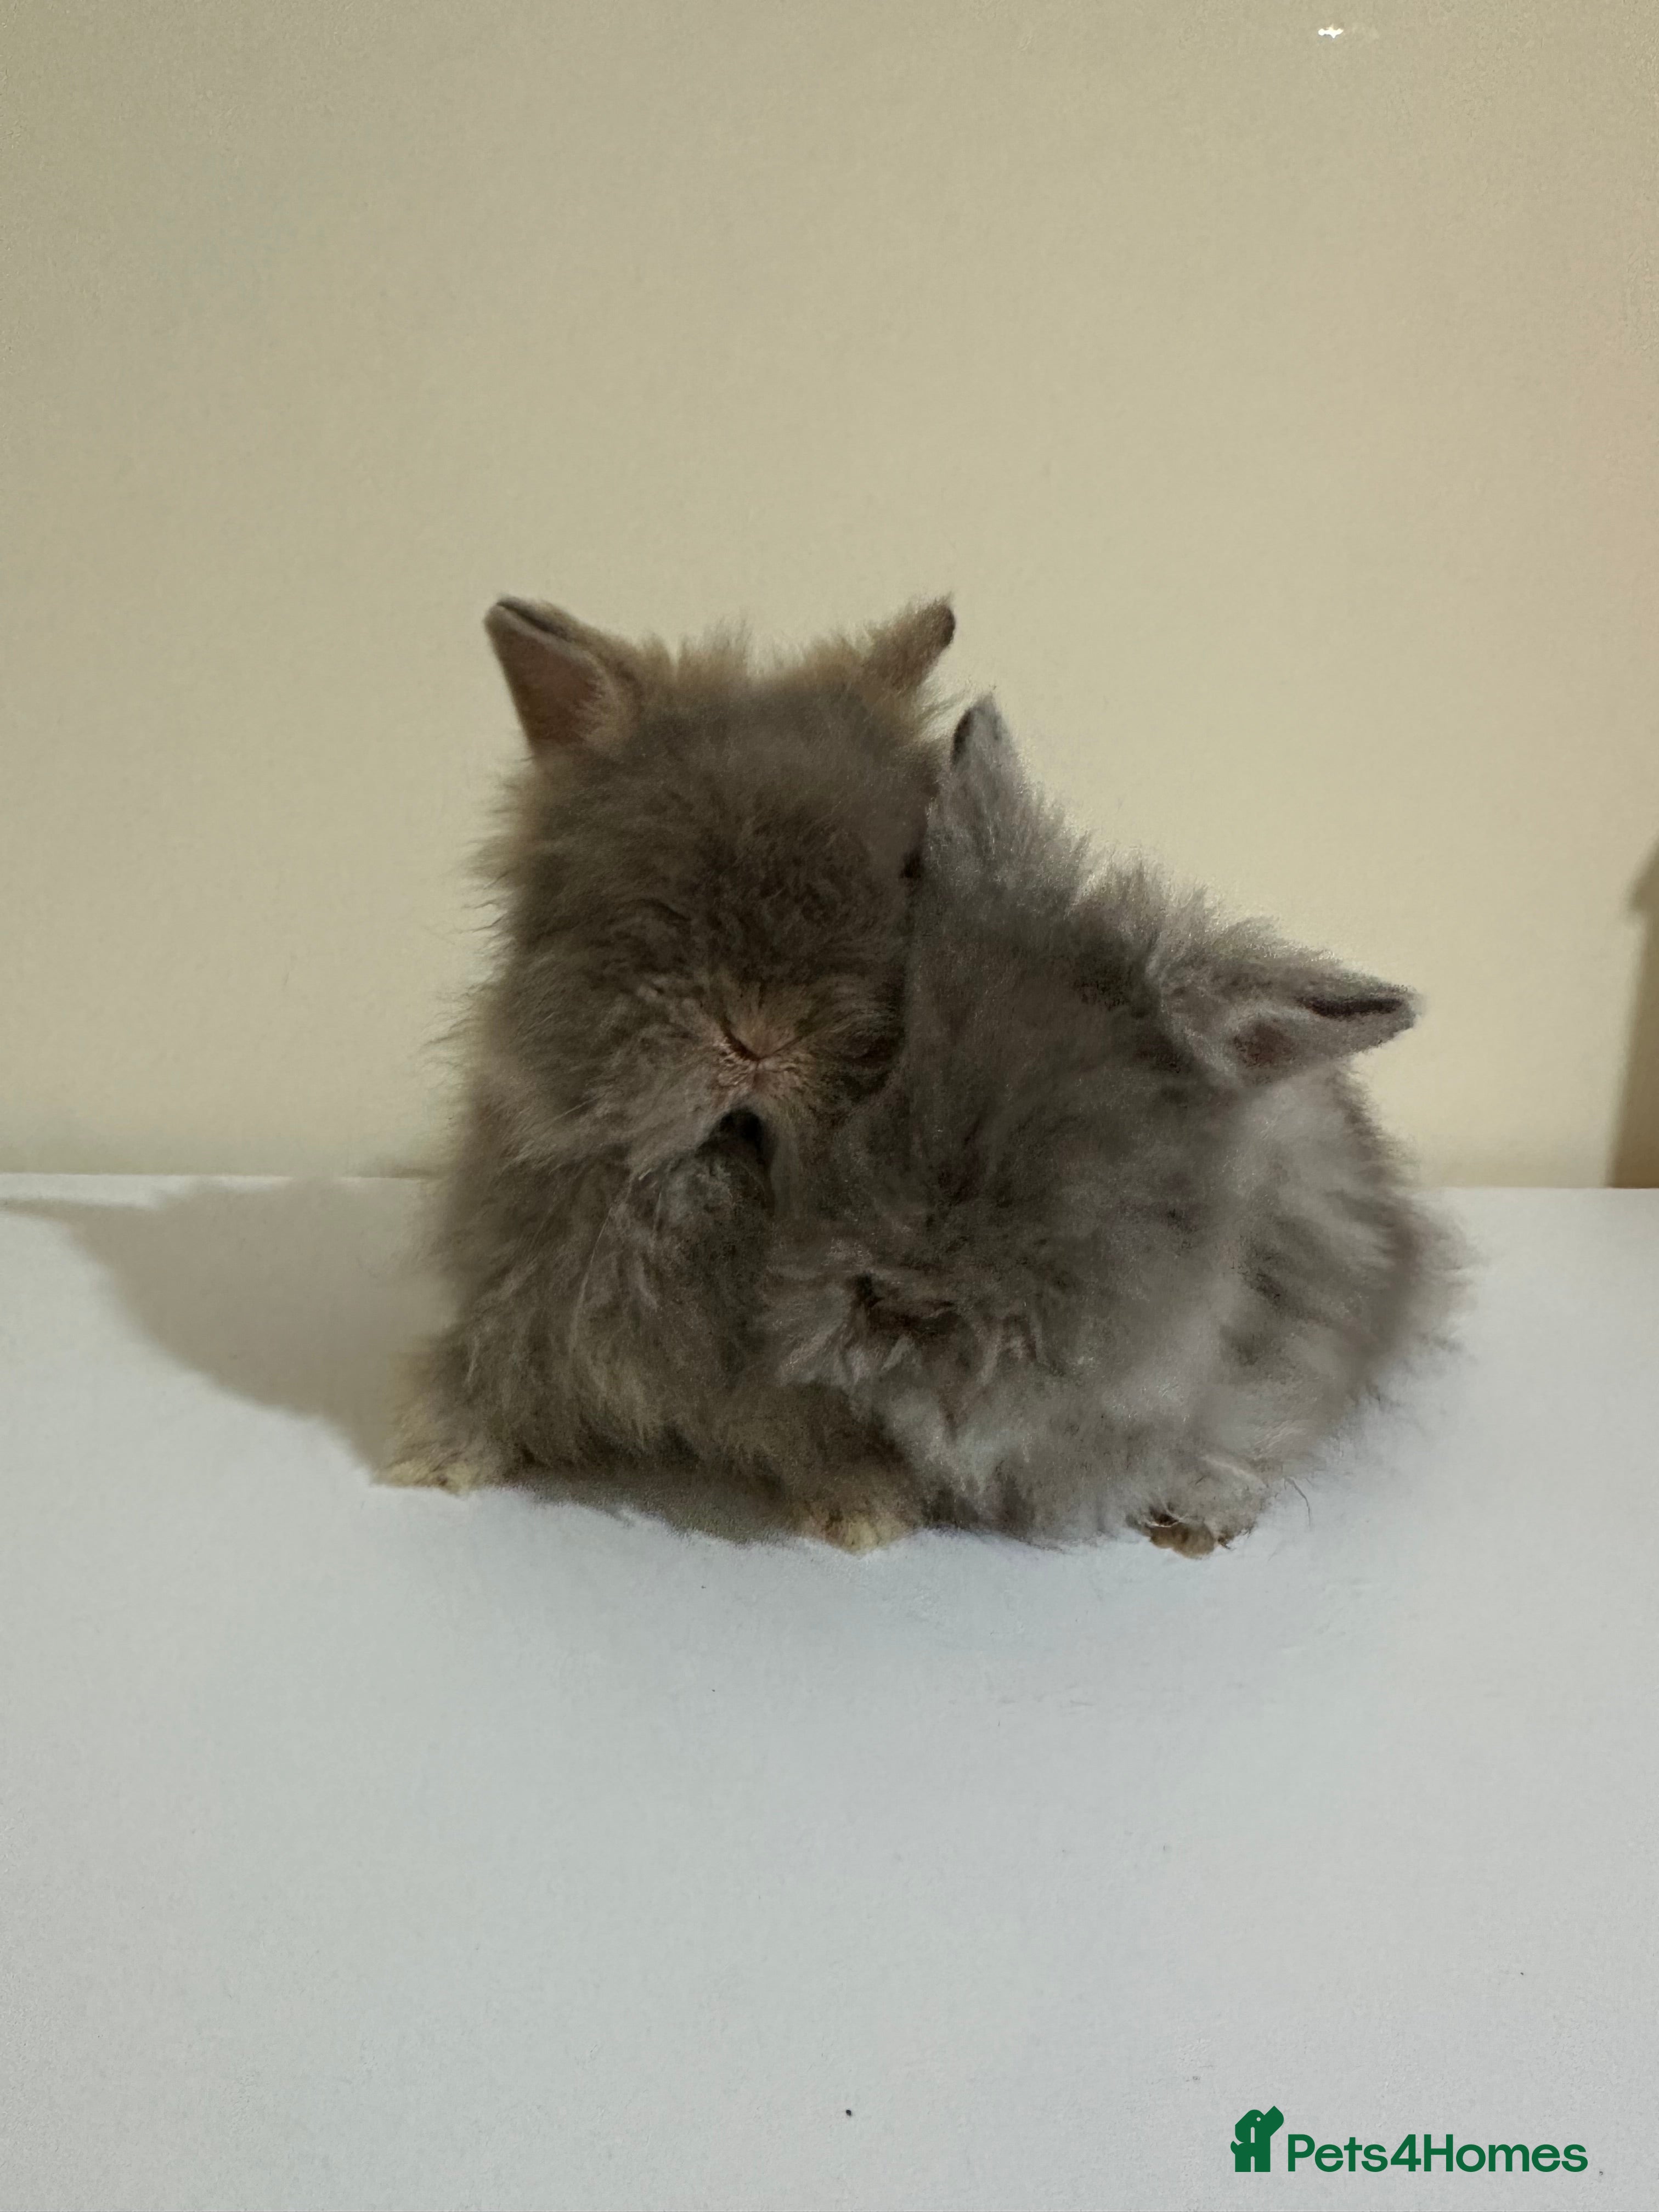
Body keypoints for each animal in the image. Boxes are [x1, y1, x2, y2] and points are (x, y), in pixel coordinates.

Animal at [384, 591, 959, 1541]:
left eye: (902, 887)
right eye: (667, 901)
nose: (761, 1037)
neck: (721, 1178)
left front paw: (863, 1511)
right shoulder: (518, 1303)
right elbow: (488, 1377)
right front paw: (433, 1459)